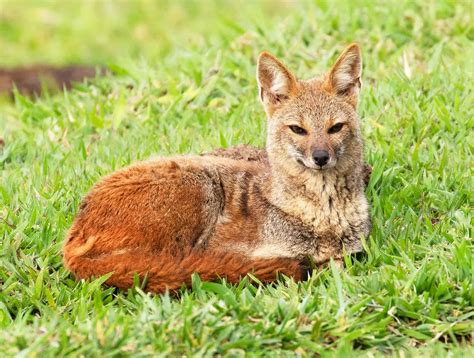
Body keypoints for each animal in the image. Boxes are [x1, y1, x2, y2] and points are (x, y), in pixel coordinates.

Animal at [62, 43, 370, 292]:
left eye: (335, 128)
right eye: (298, 129)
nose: (320, 157)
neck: (325, 215)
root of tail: (74, 234)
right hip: (200, 191)